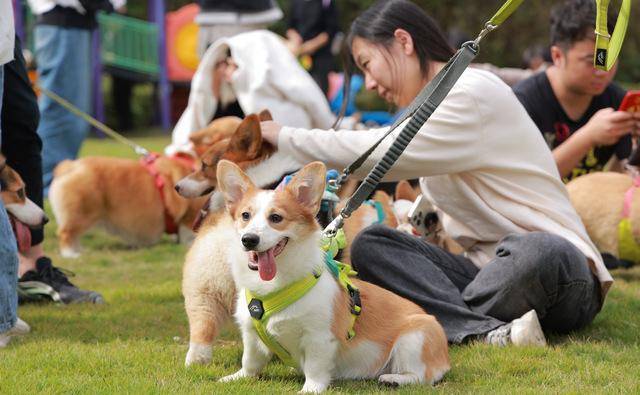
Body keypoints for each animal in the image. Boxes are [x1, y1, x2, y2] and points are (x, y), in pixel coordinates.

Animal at [51, 155, 210, 260]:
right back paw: (71, 254)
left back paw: (80, 250)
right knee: (65, 233)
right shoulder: (190, 217)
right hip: (83, 213)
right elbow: (190, 233)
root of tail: (70, 166)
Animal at [216, 160, 450, 392]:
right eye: (245, 216)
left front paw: (310, 389)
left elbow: (315, 368)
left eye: (276, 218)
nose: (249, 239)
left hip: (414, 338)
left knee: (421, 376)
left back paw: (395, 379)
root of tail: (445, 359)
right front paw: (237, 378)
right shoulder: (251, 335)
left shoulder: (319, 337)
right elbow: (250, 361)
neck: (274, 287)